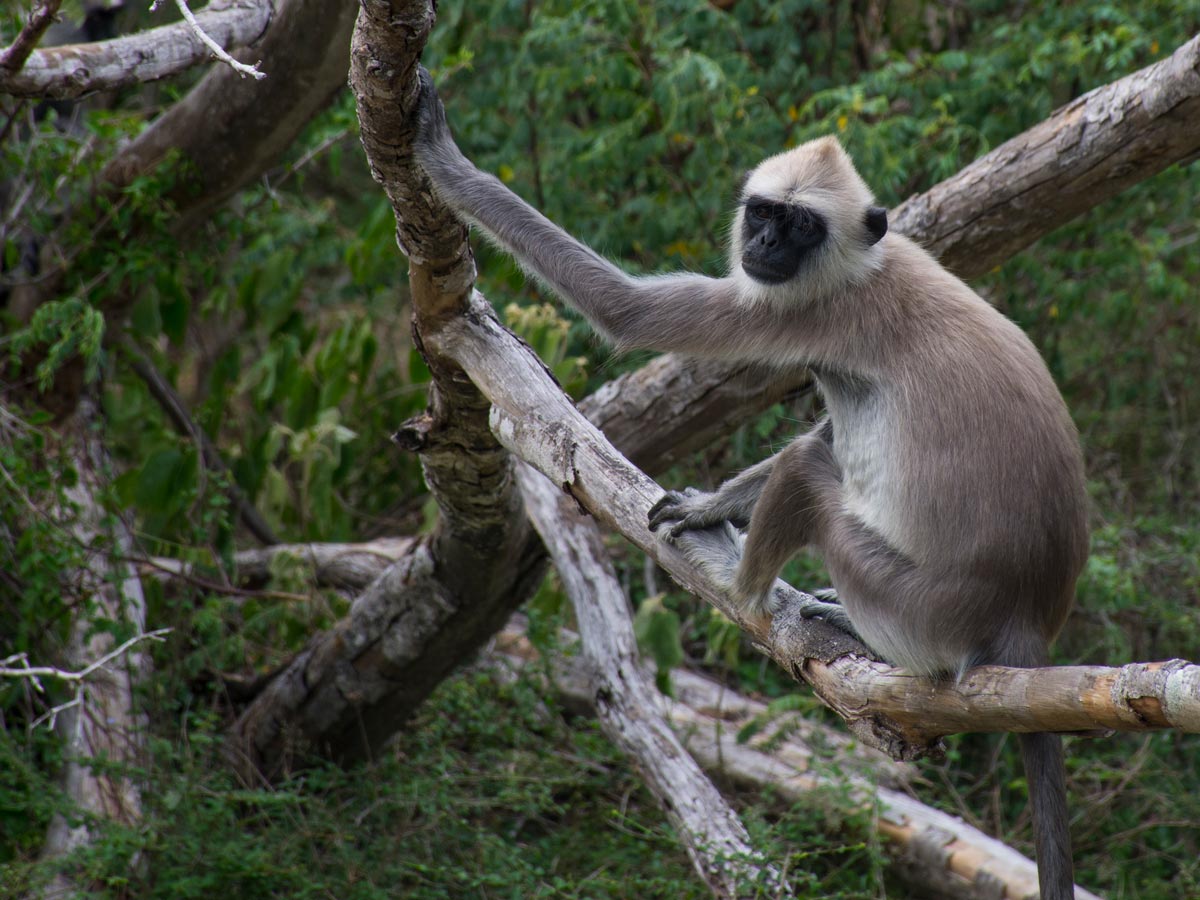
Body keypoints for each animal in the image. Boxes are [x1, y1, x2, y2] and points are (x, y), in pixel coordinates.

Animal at [412, 65, 1089, 900]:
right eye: (764, 213)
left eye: (797, 227)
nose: (763, 242)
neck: (865, 266)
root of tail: (1026, 617)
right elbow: (819, 430)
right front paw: (707, 506)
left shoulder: (810, 313)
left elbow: (629, 313)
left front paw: (444, 160)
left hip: (923, 609)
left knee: (808, 478)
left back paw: (749, 598)